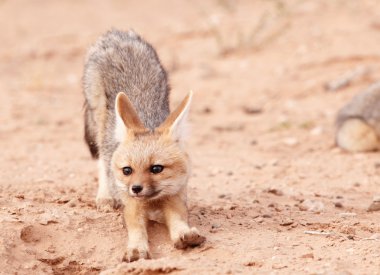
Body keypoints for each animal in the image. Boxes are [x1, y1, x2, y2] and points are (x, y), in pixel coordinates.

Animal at [82, 30, 205, 264]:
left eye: (156, 168)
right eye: (127, 170)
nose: (136, 188)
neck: (153, 202)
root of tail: (116, 34)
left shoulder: (175, 197)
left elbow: (178, 218)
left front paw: (184, 233)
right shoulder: (132, 205)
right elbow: (136, 227)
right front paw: (136, 247)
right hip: (100, 124)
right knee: (102, 160)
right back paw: (105, 196)